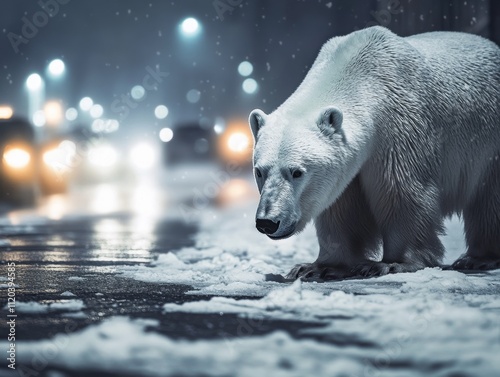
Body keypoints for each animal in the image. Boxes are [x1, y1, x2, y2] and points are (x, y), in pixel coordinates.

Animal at [250, 26, 500, 280]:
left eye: (297, 172)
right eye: (259, 171)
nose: (267, 222)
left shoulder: (400, 128)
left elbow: (402, 192)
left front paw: (392, 264)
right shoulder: (351, 163)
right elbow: (341, 206)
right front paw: (317, 267)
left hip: (490, 147)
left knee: (489, 200)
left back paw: (478, 258)